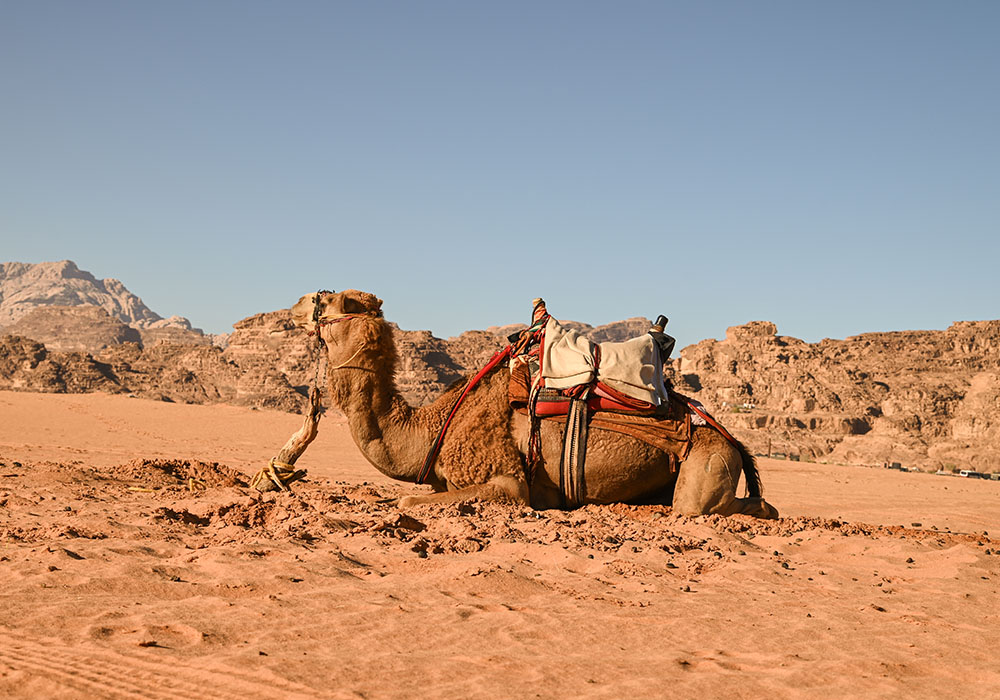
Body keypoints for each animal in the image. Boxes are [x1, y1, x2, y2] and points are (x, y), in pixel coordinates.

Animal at [292, 290, 780, 520]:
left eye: (326, 300)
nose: (295, 305)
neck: (434, 425)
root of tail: (733, 441)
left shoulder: (506, 480)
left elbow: (409, 501)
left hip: (708, 462)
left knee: (732, 507)